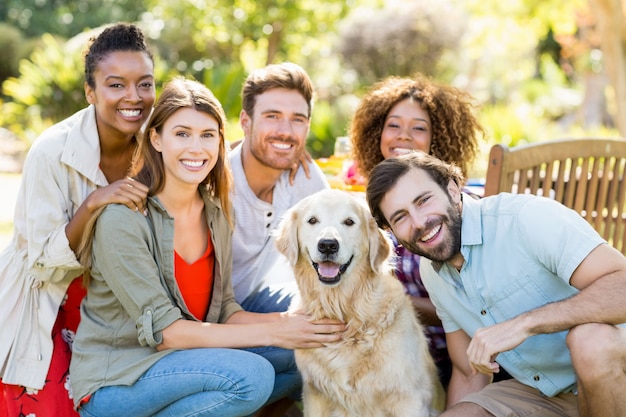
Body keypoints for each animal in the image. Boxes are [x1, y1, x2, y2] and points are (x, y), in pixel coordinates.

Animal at [272, 189, 438, 416]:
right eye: (312, 220)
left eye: (349, 222)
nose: (328, 245)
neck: (345, 311)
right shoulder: (315, 394)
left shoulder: (408, 398)